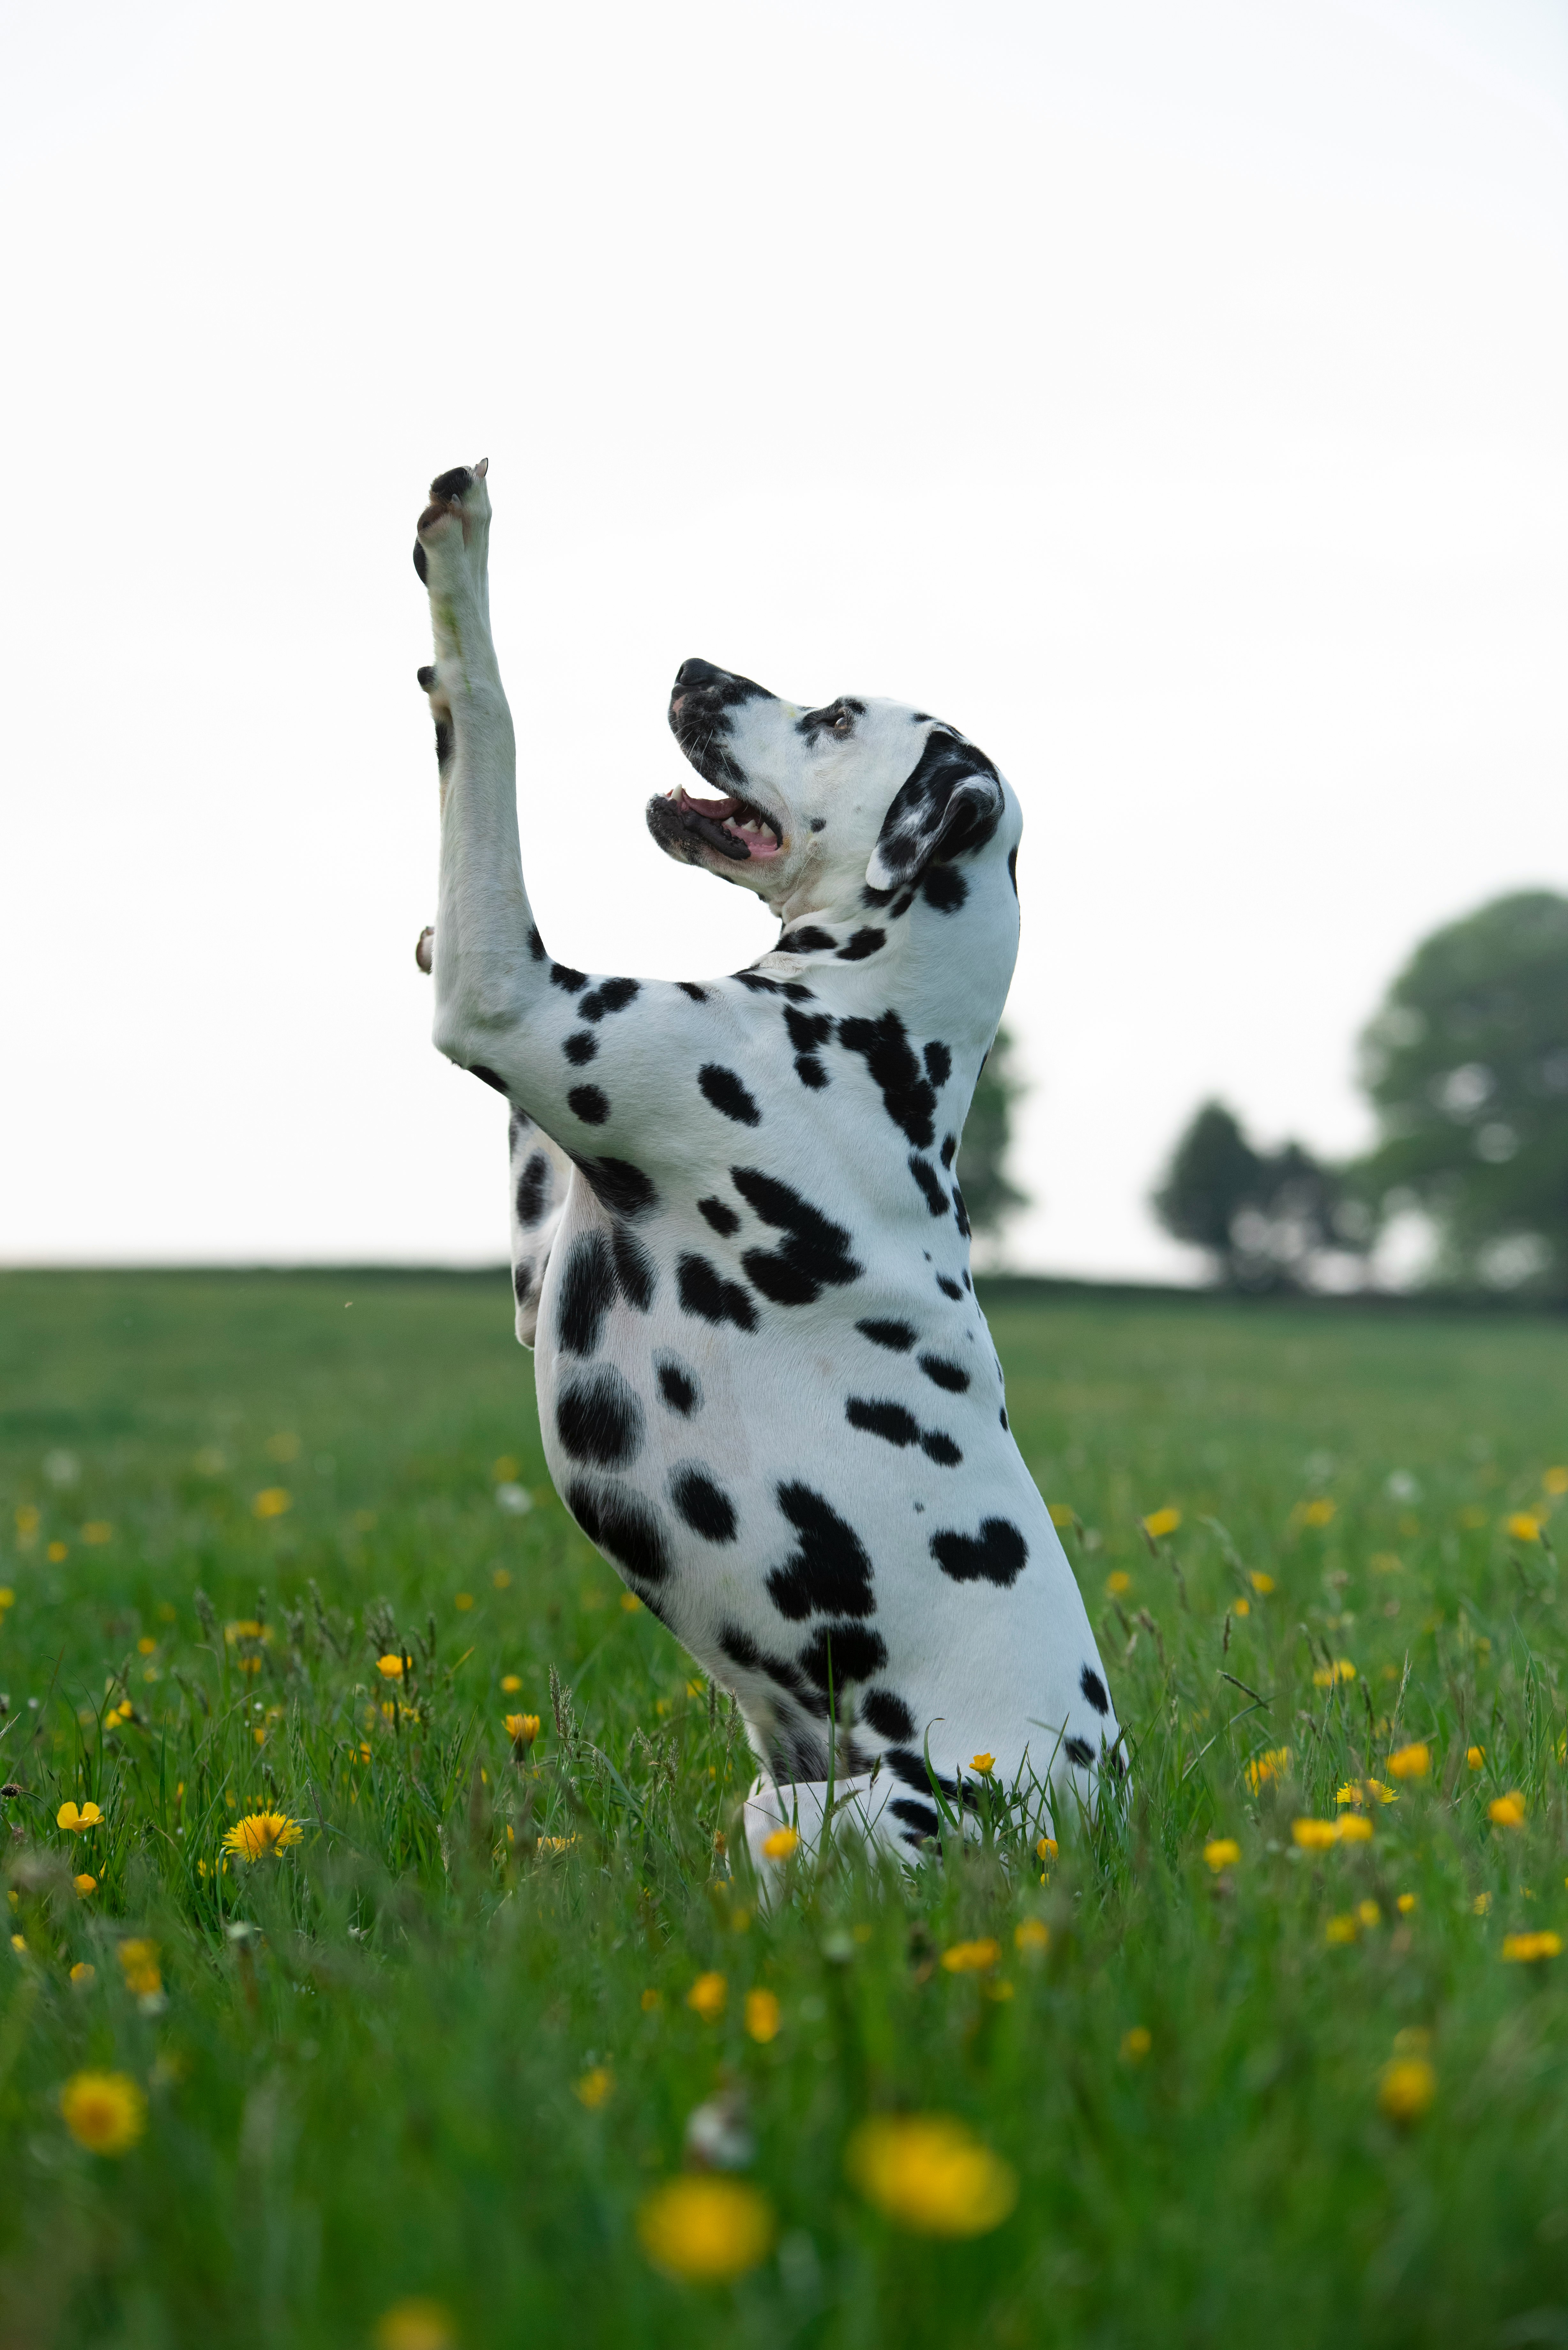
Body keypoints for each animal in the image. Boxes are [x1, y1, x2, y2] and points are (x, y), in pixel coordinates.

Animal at [411, 467, 1124, 1880]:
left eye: (837, 716)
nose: (695, 668)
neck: (870, 1026)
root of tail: (1098, 1817)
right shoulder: (539, 1223)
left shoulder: (507, 1001)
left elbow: (493, 731)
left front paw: (459, 554)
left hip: (806, 1818)